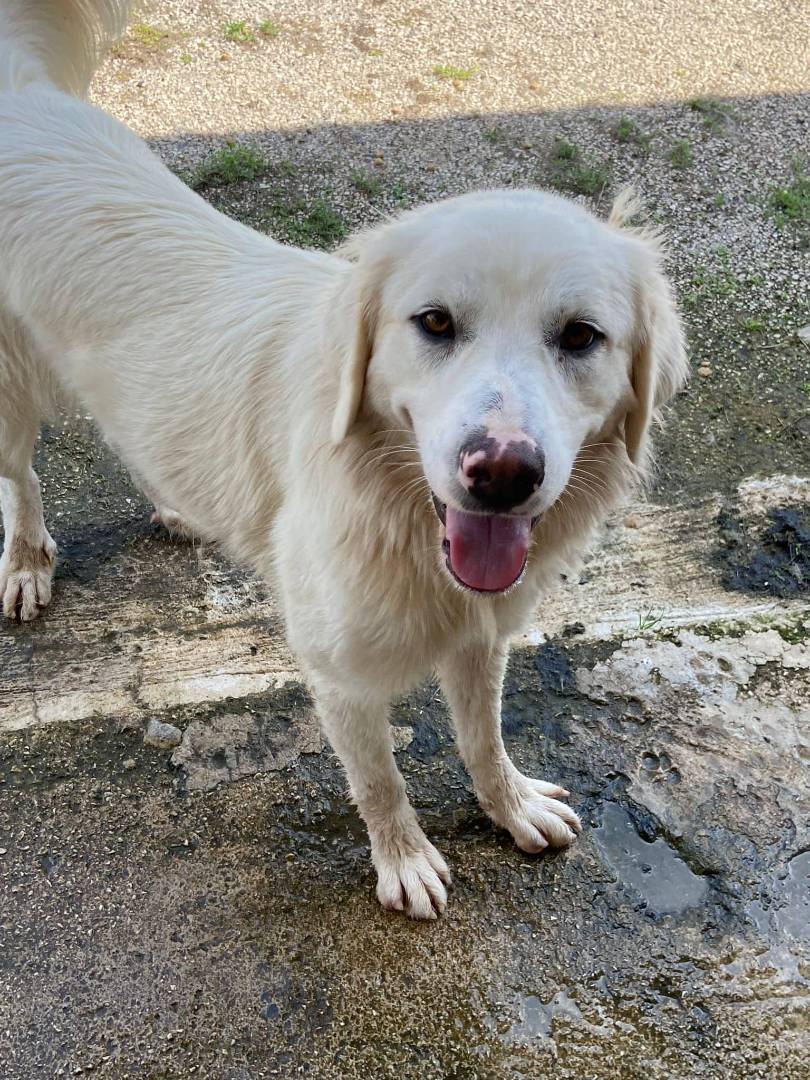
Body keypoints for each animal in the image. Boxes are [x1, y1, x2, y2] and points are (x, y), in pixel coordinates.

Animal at [0, 2, 686, 920]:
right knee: (22, 475)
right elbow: (381, 783)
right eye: (434, 323)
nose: (503, 474)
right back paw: (26, 562)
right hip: (7, 396)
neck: (391, 505)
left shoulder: (479, 636)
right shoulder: (342, 675)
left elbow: (484, 738)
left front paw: (509, 806)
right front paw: (404, 861)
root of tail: (22, 96)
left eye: (581, 336)